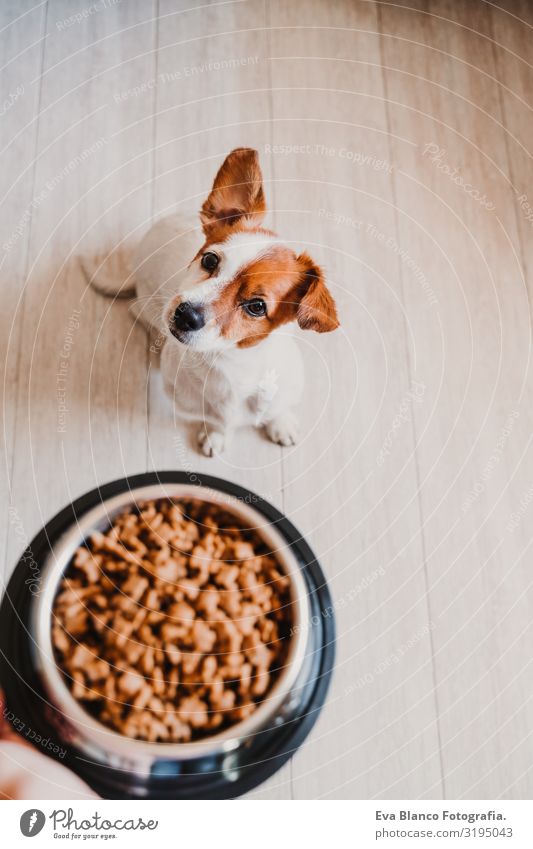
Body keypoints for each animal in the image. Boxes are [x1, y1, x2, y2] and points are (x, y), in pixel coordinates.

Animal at [83, 146, 340, 454]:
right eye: (209, 260)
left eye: (257, 307)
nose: (186, 315)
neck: (233, 364)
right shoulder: (191, 403)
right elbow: (217, 420)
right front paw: (218, 434)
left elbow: (276, 407)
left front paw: (281, 422)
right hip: (148, 304)